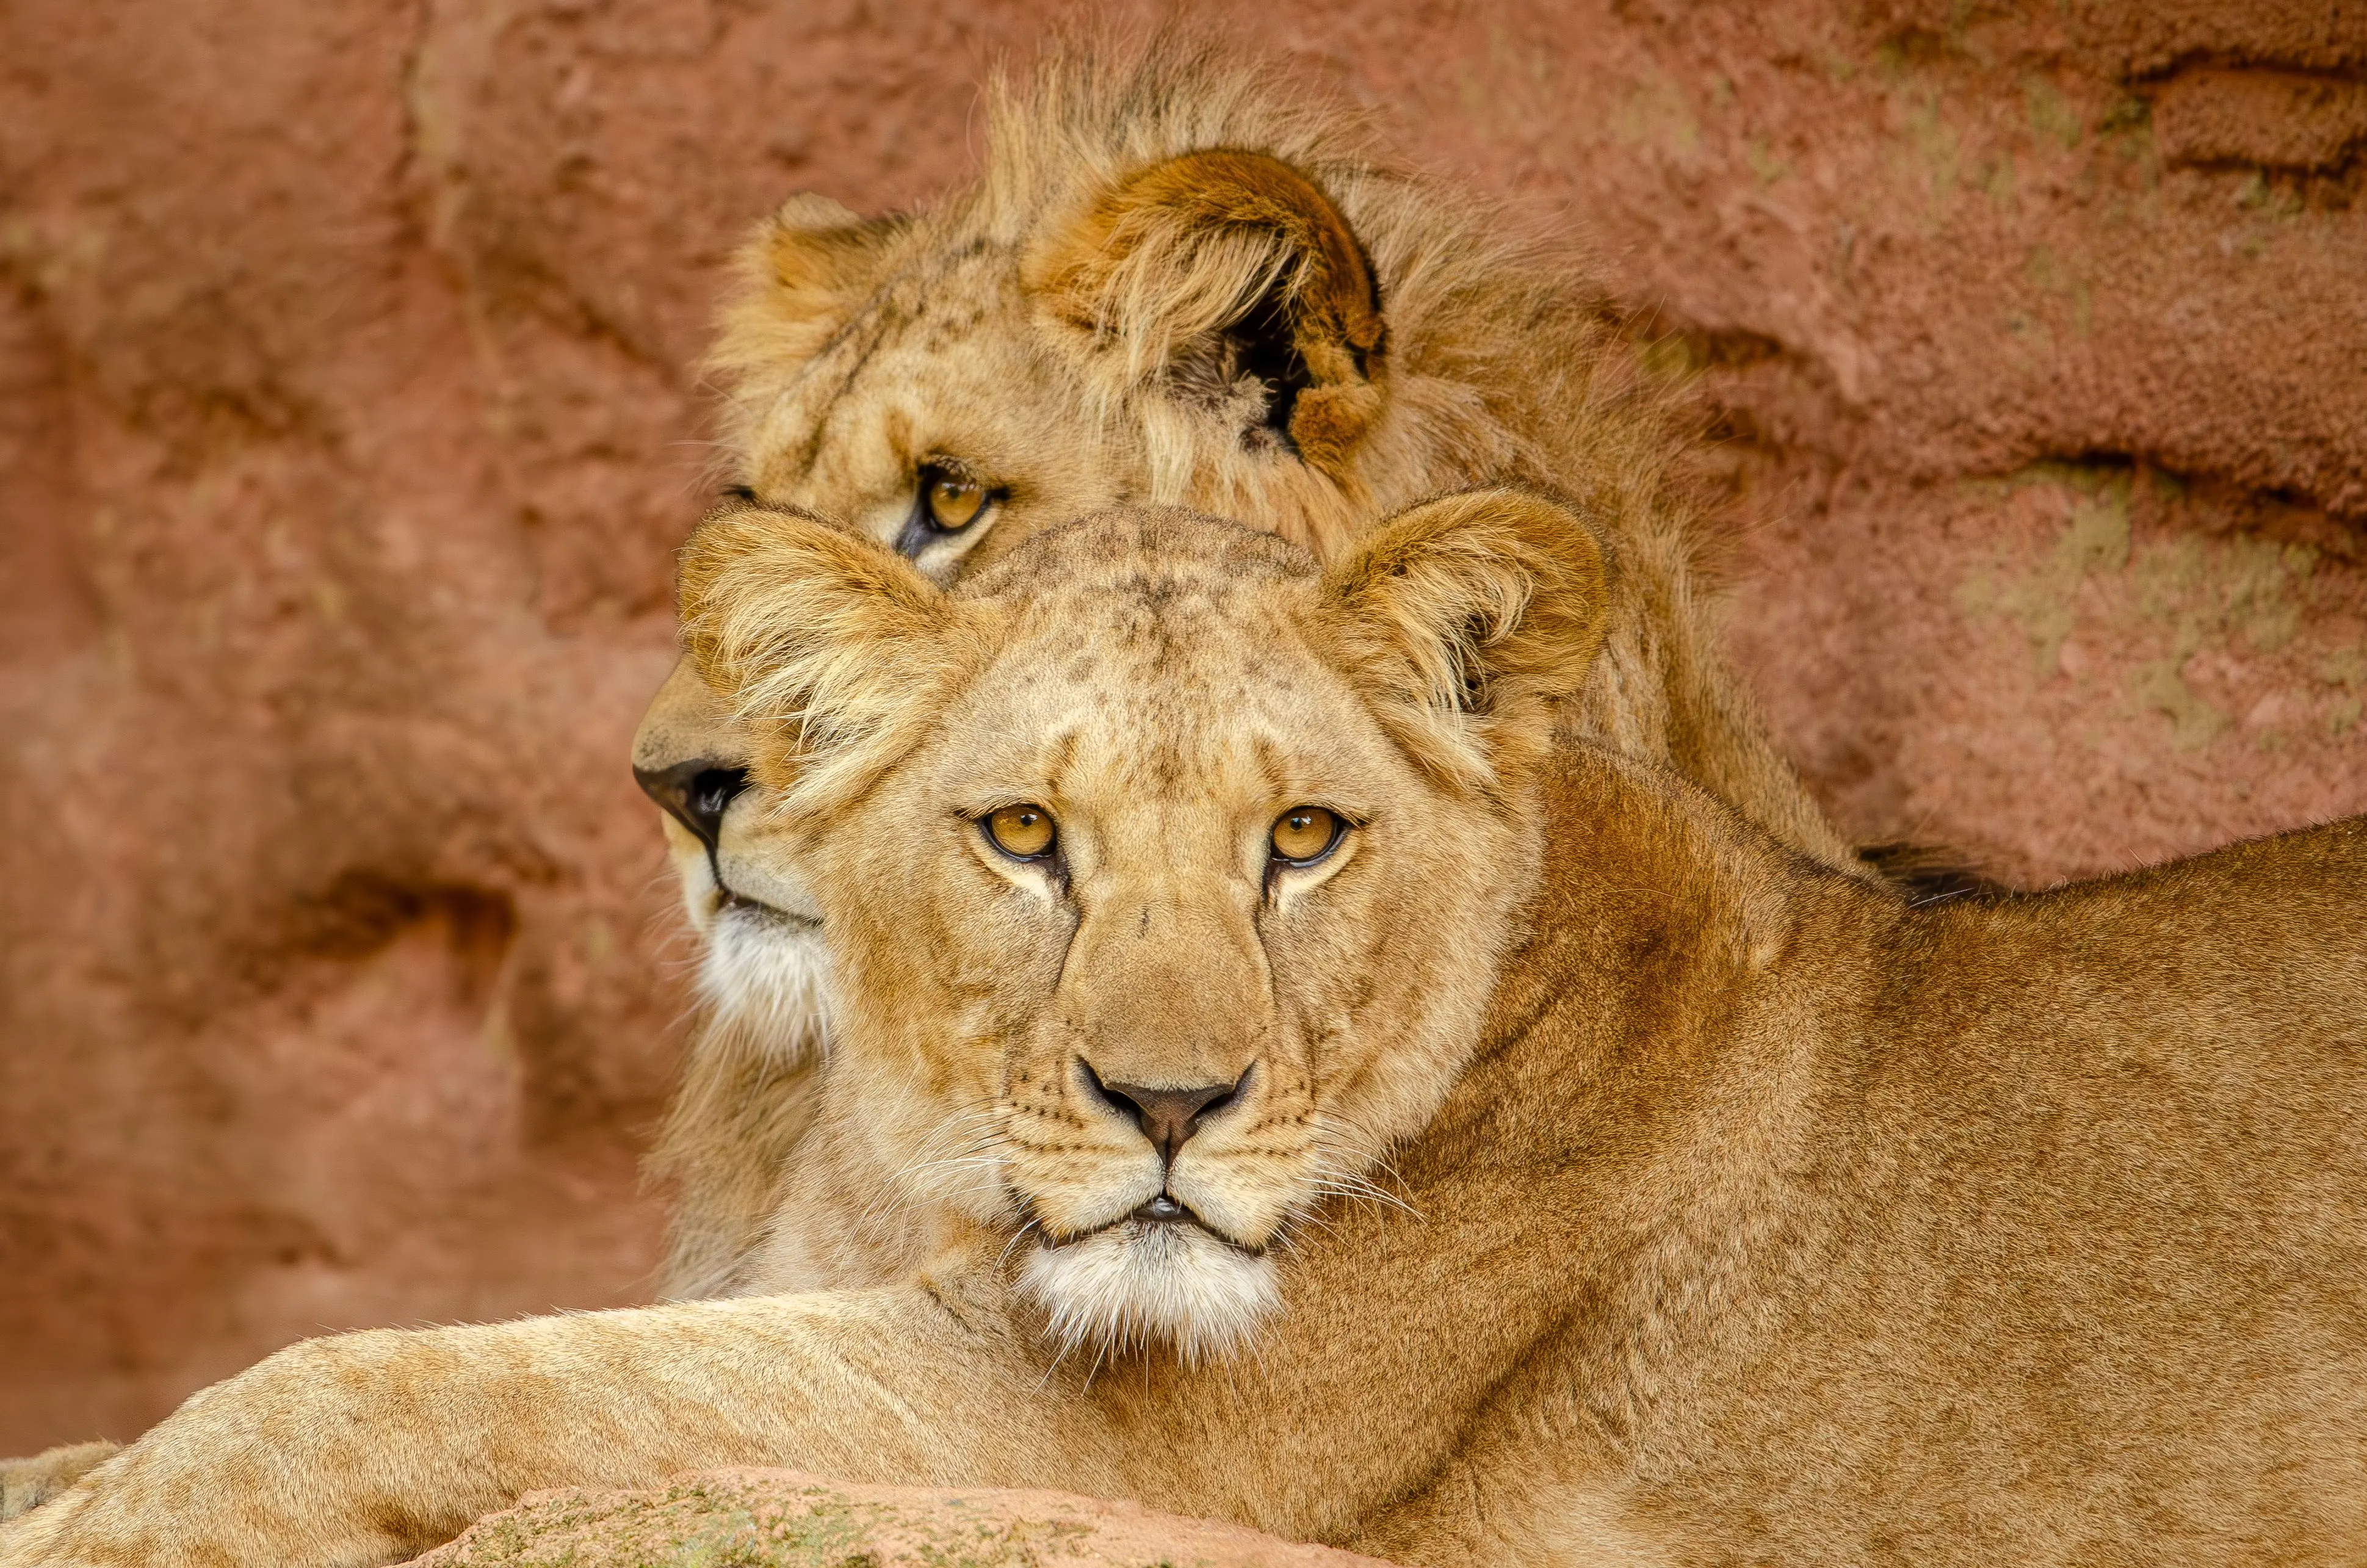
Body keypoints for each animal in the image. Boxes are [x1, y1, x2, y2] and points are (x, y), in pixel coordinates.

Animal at [11, 488, 2363, 1568]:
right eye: (1021, 833)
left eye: (1298, 834)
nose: (1166, 1103)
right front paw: (76, 1471)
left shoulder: (1134, 1446)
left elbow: (431, 1367)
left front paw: (123, 1514)